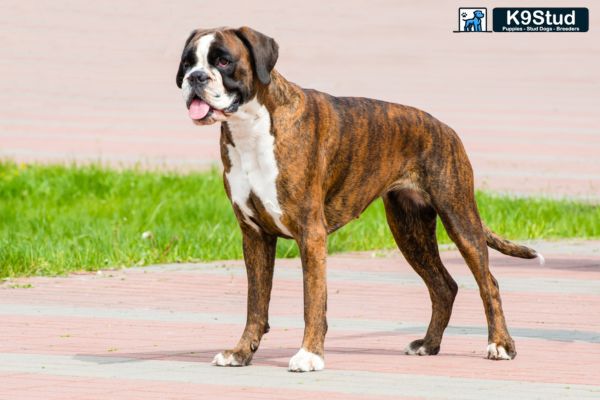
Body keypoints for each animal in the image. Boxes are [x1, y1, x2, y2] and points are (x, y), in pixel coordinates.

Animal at [175, 27, 544, 372]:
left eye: (223, 61)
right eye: (188, 62)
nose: (196, 77)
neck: (252, 127)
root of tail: (445, 128)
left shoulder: (311, 234)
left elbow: (313, 300)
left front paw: (309, 355)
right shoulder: (254, 235)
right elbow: (256, 304)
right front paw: (240, 353)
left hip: (459, 218)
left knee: (488, 283)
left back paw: (500, 345)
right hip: (409, 230)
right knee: (443, 286)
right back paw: (429, 344)